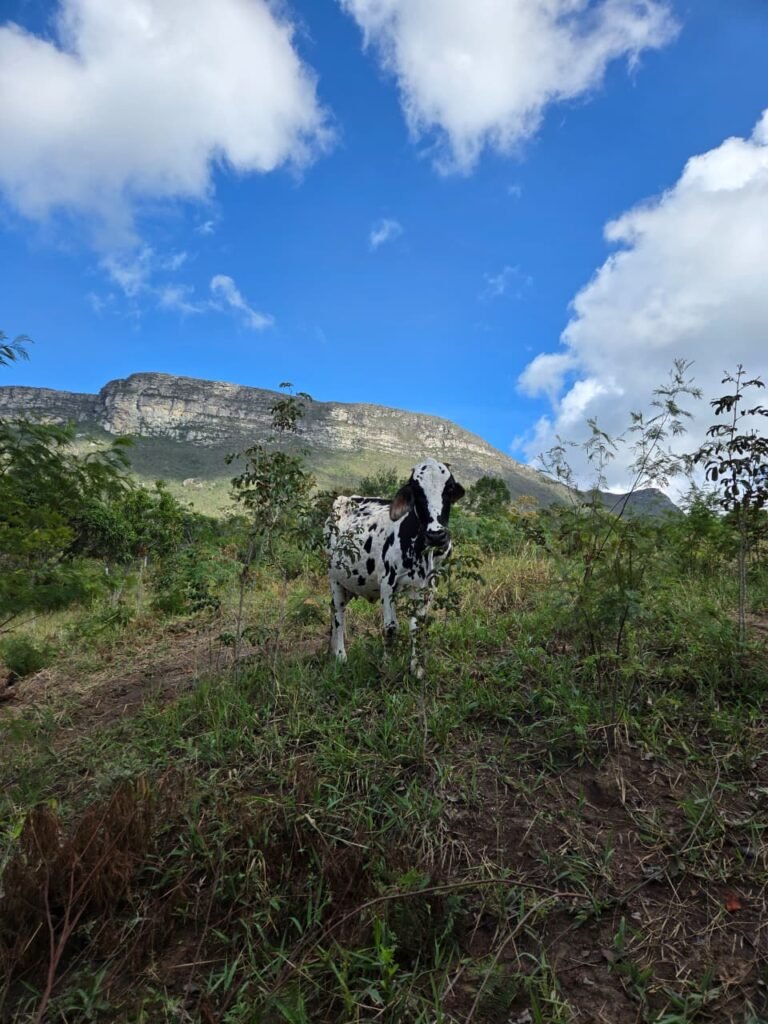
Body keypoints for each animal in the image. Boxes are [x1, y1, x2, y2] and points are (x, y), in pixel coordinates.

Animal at [325, 458, 465, 677]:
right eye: (416, 490)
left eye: (449, 488)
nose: (436, 535)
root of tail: (345, 499)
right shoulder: (387, 584)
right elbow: (391, 627)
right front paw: (386, 665)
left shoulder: (427, 588)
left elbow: (418, 627)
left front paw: (417, 669)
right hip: (335, 578)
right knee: (338, 612)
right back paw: (340, 655)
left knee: (334, 609)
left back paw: (332, 648)